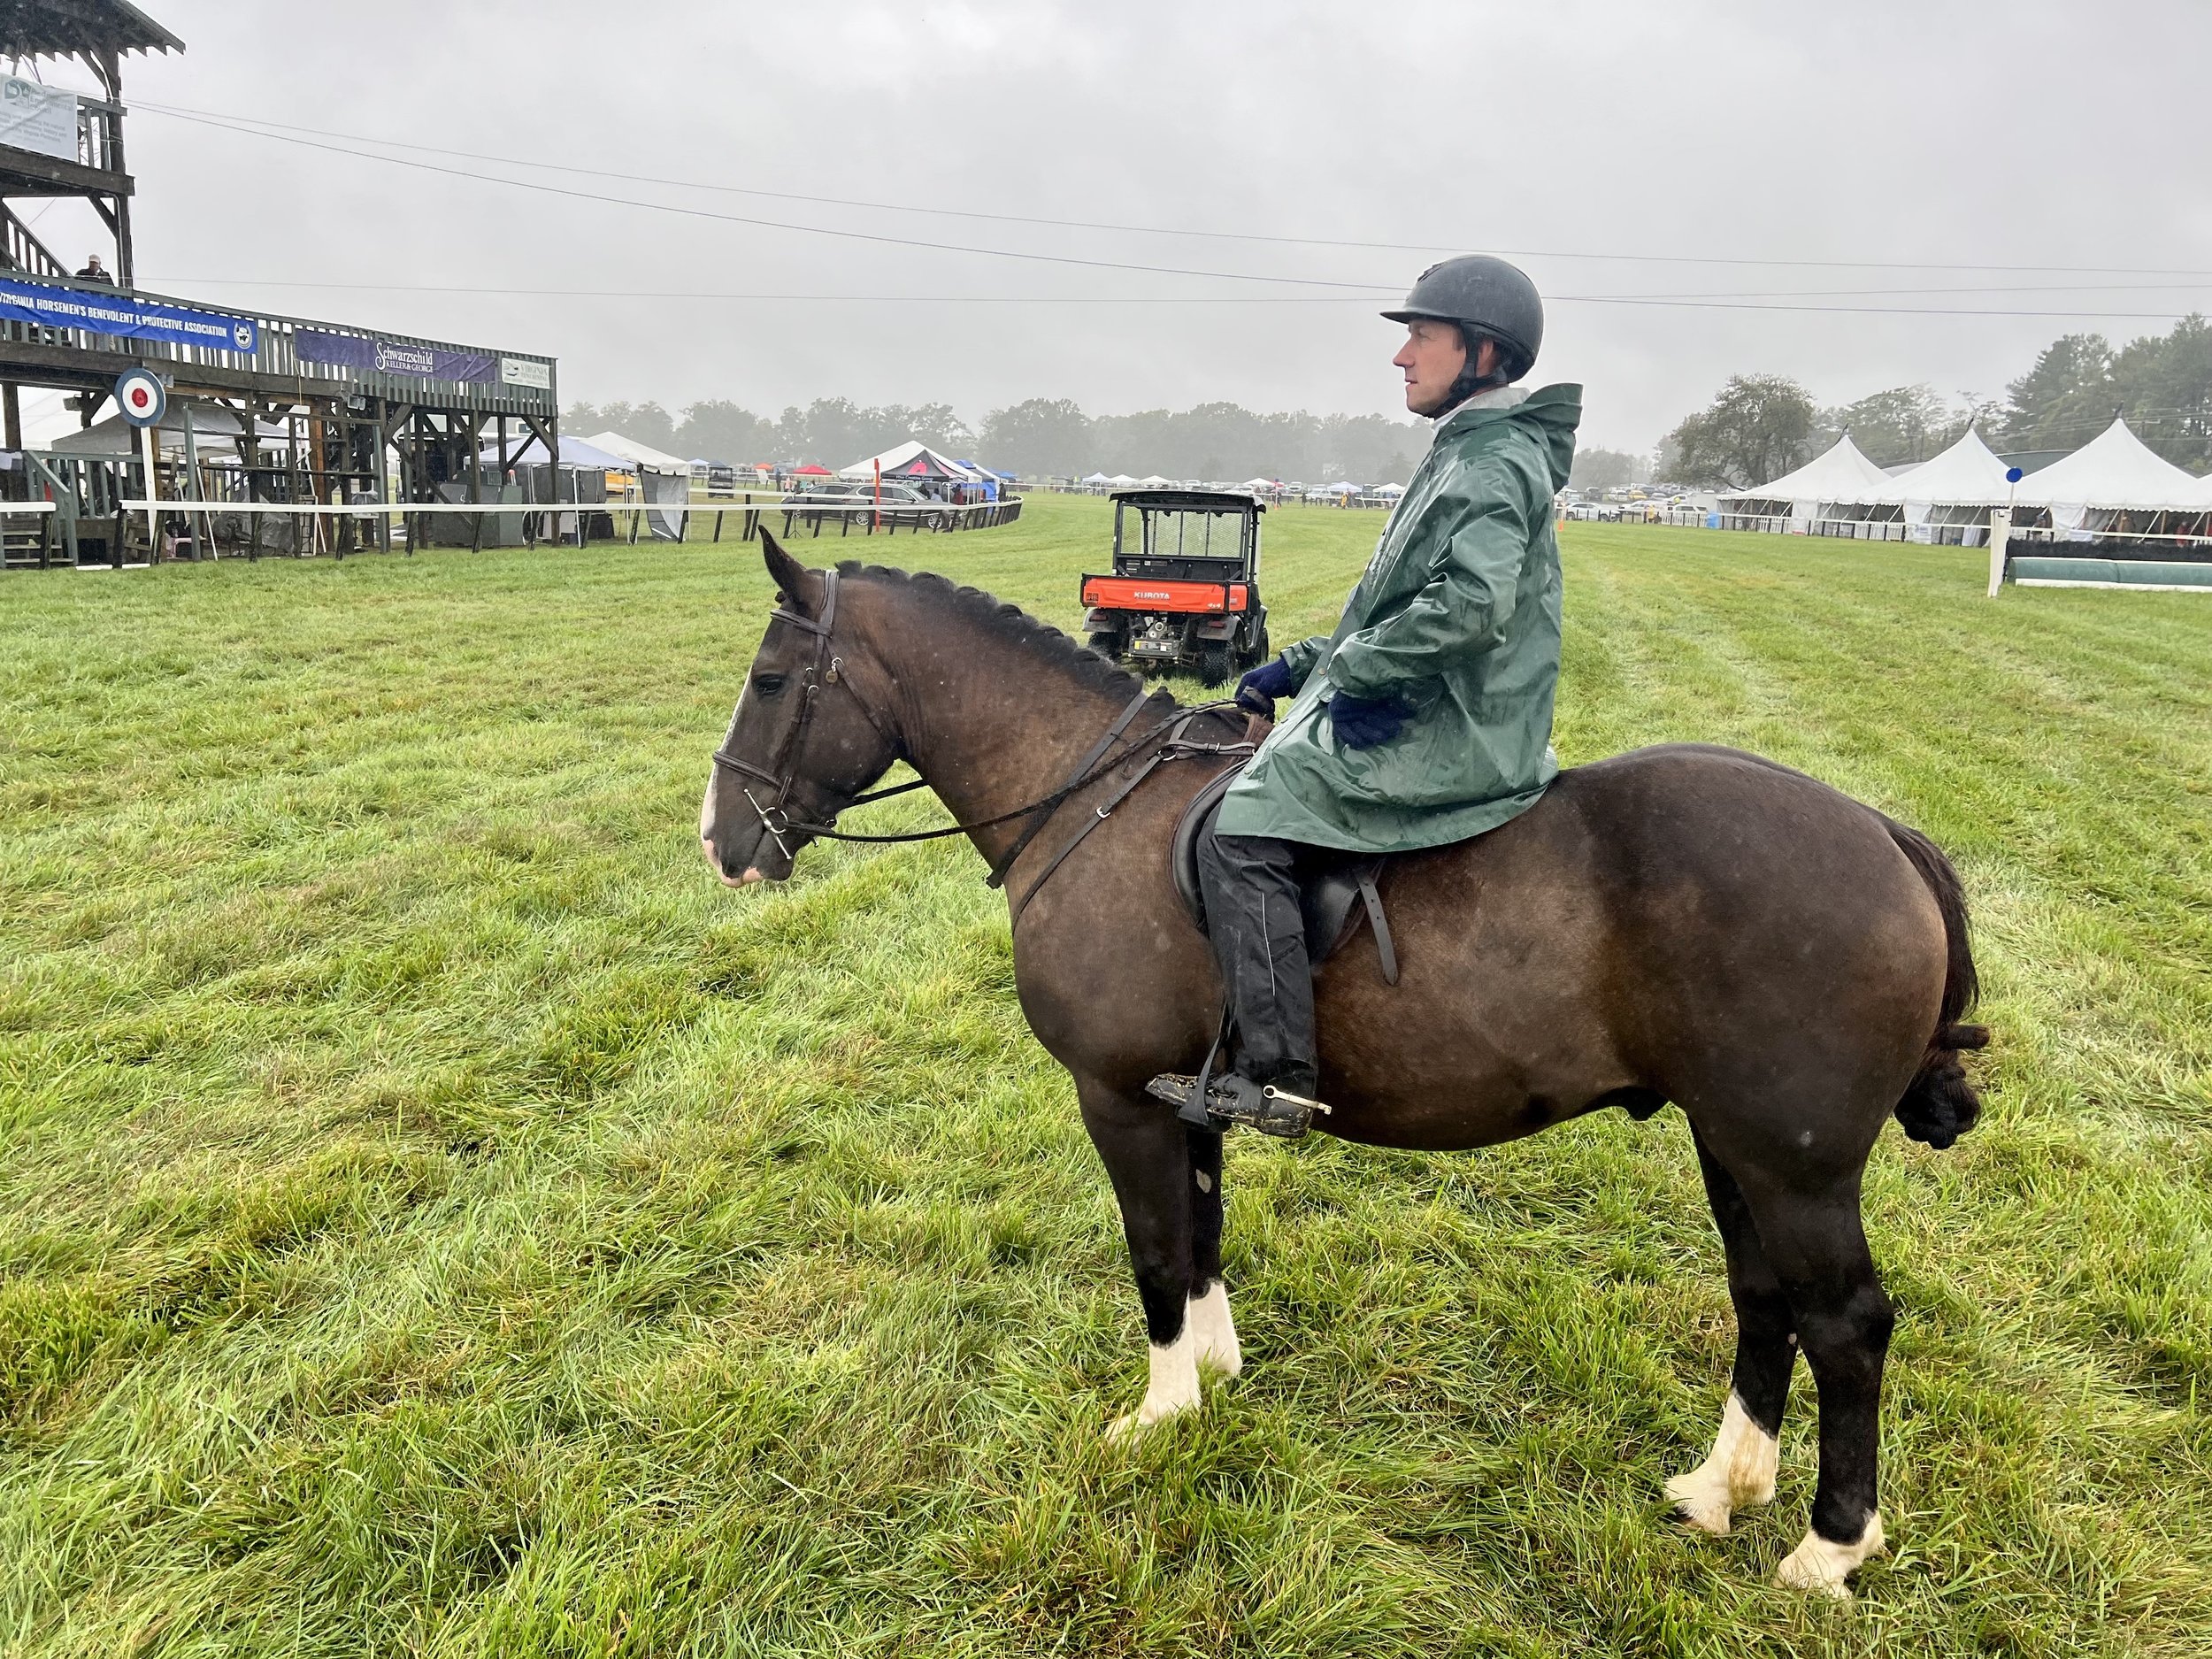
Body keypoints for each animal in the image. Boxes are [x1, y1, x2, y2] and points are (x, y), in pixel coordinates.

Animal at [703, 540, 1991, 1601]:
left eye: (768, 682)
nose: (720, 842)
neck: (1094, 801)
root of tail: (1883, 835)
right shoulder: (1187, 1099)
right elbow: (1203, 1231)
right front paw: (1215, 1372)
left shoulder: (1118, 1098)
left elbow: (1156, 1249)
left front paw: (1160, 1412)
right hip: (1732, 1144)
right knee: (1764, 1298)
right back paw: (1722, 1487)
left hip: (1794, 1166)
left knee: (1848, 1324)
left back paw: (1830, 1547)